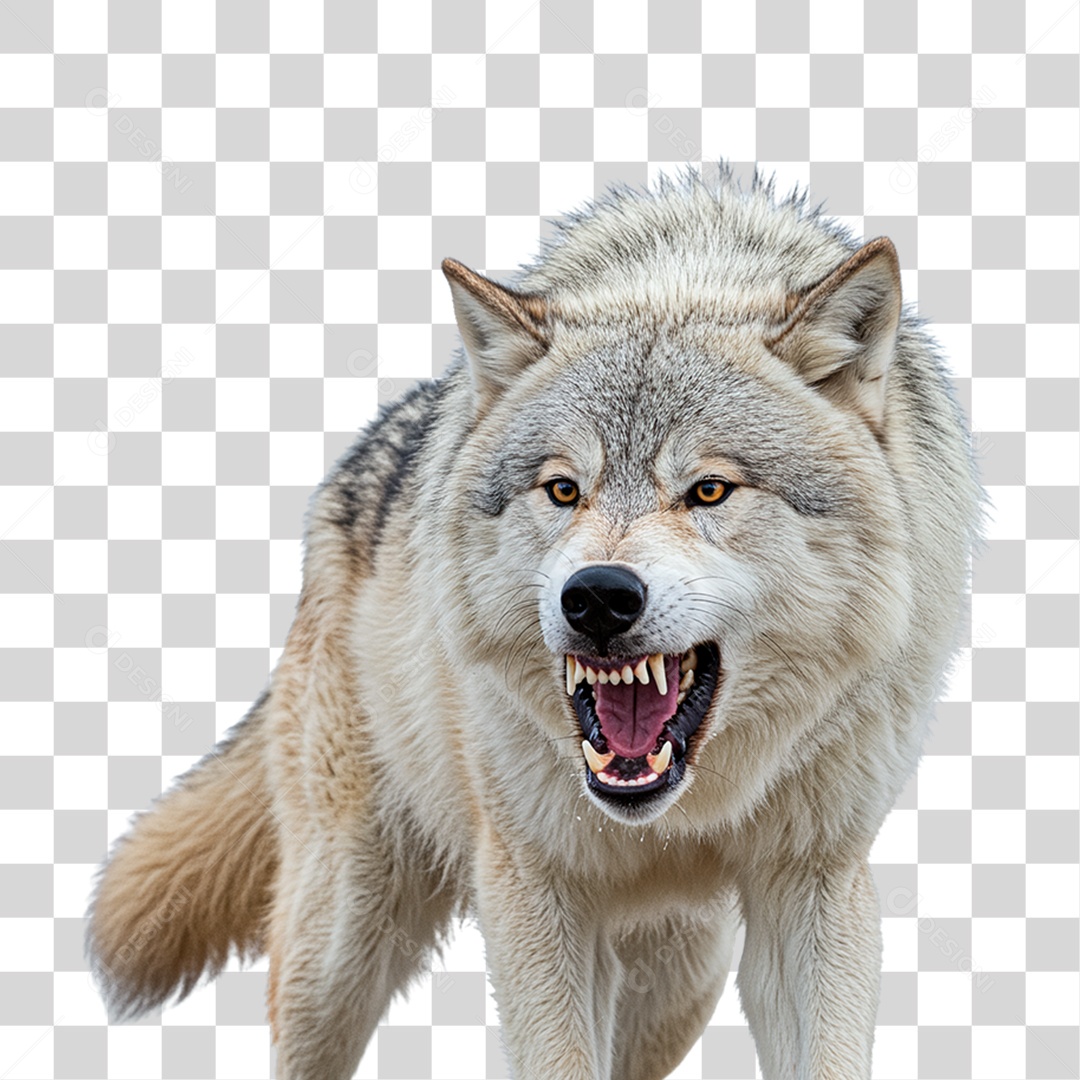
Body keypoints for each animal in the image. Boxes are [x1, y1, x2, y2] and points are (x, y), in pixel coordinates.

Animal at [88, 170, 983, 1080]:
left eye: (708, 490)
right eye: (562, 489)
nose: (598, 596)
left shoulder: (816, 883)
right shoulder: (531, 890)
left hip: (680, 979)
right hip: (340, 936)